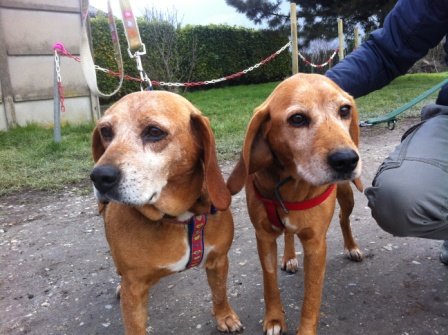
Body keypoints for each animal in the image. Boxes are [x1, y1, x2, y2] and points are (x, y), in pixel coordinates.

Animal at [90, 90, 242, 334]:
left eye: (154, 132)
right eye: (106, 131)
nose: (100, 177)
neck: (178, 217)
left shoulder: (218, 260)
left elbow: (219, 293)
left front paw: (225, 316)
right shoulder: (134, 288)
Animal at [229, 74, 362, 335]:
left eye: (344, 110)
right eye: (297, 119)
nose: (347, 160)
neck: (291, 185)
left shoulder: (316, 245)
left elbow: (311, 298)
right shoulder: (264, 238)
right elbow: (269, 283)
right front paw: (274, 319)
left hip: (347, 195)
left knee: (344, 219)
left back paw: (351, 246)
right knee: (289, 234)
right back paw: (289, 257)